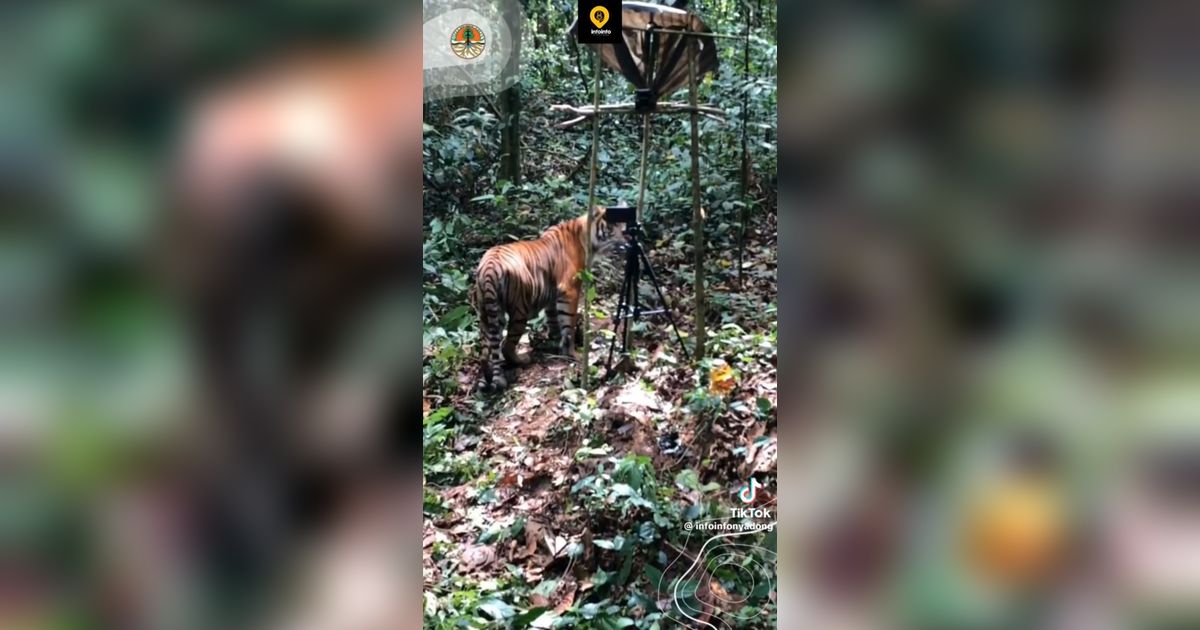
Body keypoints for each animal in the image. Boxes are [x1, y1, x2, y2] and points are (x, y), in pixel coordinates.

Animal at [468, 206, 624, 391]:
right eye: (612, 226)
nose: (626, 240)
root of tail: (490, 266)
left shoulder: (552, 297)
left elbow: (553, 320)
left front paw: (554, 341)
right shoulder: (570, 290)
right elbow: (568, 325)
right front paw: (571, 353)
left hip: (487, 310)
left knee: (487, 350)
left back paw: (487, 377)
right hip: (520, 310)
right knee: (506, 345)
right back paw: (522, 361)